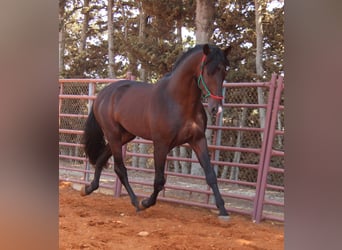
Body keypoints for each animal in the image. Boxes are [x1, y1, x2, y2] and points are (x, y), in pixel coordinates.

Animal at [81, 44, 231, 218]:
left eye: (224, 70)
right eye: (208, 71)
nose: (216, 108)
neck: (176, 102)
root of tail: (102, 95)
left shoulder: (198, 140)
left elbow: (210, 175)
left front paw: (223, 211)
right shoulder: (161, 144)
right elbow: (159, 180)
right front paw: (146, 203)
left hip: (125, 135)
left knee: (101, 159)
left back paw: (88, 188)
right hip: (113, 135)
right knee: (120, 169)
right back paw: (136, 203)